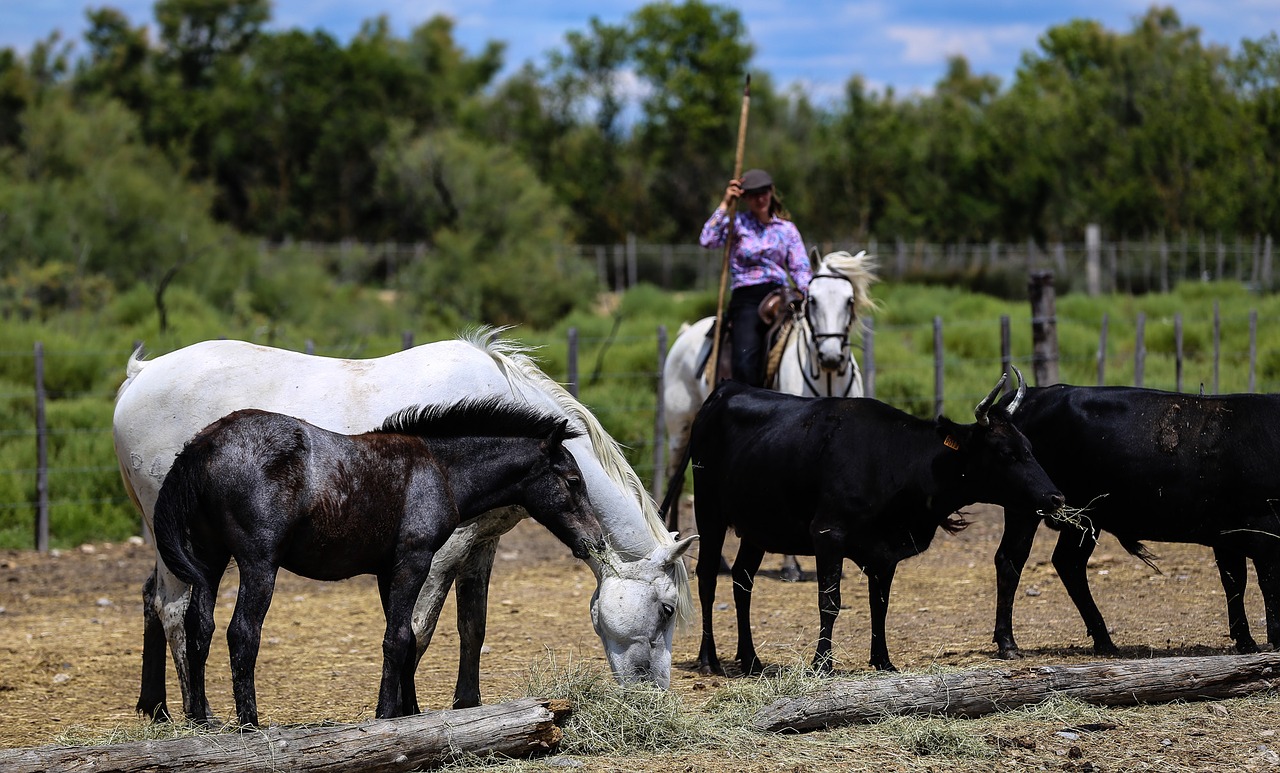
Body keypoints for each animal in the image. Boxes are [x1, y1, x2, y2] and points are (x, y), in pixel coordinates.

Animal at [117, 326, 701, 716]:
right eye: (668, 609)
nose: (655, 695)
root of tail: (139, 376)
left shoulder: (480, 546)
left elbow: (471, 627)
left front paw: (464, 705)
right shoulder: (436, 554)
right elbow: (415, 631)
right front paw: (404, 713)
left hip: (177, 544)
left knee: (154, 601)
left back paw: (156, 706)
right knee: (174, 611)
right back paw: (198, 713)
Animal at [660, 253, 880, 578]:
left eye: (849, 300)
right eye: (812, 300)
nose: (830, 356)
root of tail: (686, 333)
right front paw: (791, 566)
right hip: (680, 429)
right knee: (676, 484)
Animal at [686, 376, 1064, 675]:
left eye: (1029, 446)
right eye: (1005, 453)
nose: (1056, 497)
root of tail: (728, 388)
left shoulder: (885, 552)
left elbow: (879, 604)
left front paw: (883, 660)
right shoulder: (827, 534)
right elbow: (830, 600)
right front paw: (822, 663)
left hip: (756, 528)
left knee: (742, 581)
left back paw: (750, 660)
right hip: (709, 511)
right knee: (707, 578)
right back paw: (709, 660)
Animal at [993, 383, 1280, 660]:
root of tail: (1035, 394)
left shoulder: (1228, 535)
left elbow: (1235, 583)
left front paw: (1246, 641)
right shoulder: (1263, 530)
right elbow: (1268, 585)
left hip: (1085, 520)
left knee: (1068, 563)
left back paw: (1104, 641)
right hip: (1025, 509)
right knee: (1010, 560)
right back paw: (1008, 643)